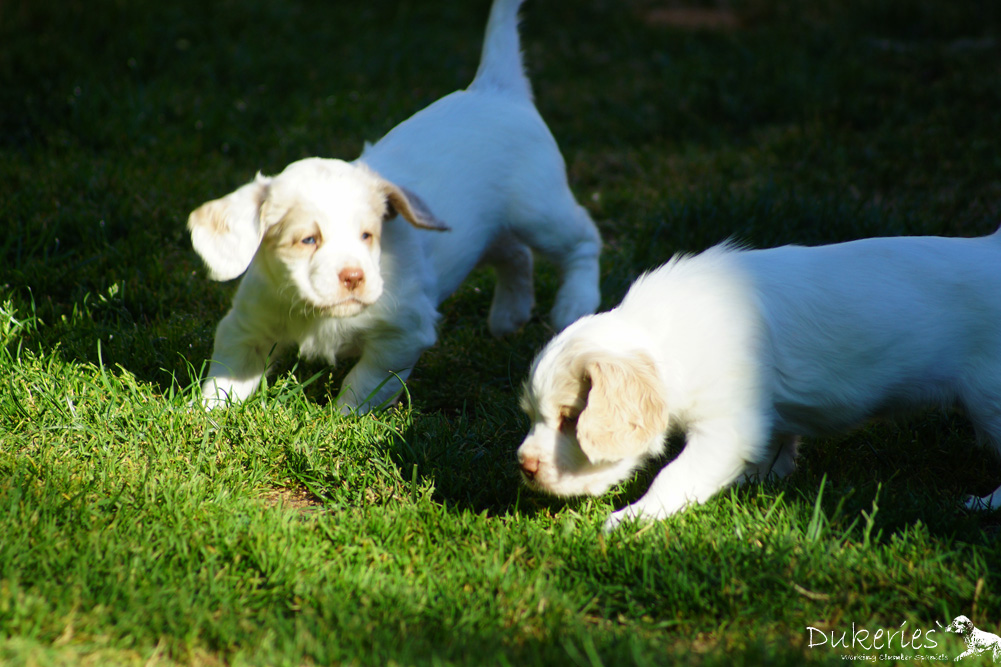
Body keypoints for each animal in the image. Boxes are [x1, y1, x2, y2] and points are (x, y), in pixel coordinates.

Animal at [186, 0, 600, 410]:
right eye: (308, 240)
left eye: (368, 235)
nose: (354, 277)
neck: (318, 314)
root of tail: (495, 89)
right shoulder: (247, 324)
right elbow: (227, 376)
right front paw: (202, 414)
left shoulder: (403, 333)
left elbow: (365, 384)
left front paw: (343, 420)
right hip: (483, 232)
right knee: (515, 254)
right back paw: (509, 315)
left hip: (540, 210)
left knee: (583, 240)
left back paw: (575, 305)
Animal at [520, 230, 1001, 528]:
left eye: (569, 419)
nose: (524, 467)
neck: (668, 335)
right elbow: (776, 449)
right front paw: (761, 482)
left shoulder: (728, 425)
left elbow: (674, 475)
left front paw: (629, 519)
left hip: (989, 399)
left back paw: (984, 505)